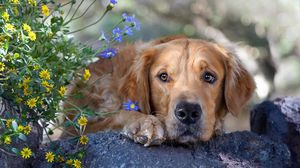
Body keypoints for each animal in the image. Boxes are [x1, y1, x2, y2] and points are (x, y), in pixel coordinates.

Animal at [63, 35, 255, 146]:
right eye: (163, 76)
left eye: (209, 77)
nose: (188, 112)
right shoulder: (80, 128)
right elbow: (119, 114)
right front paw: (145, 123)